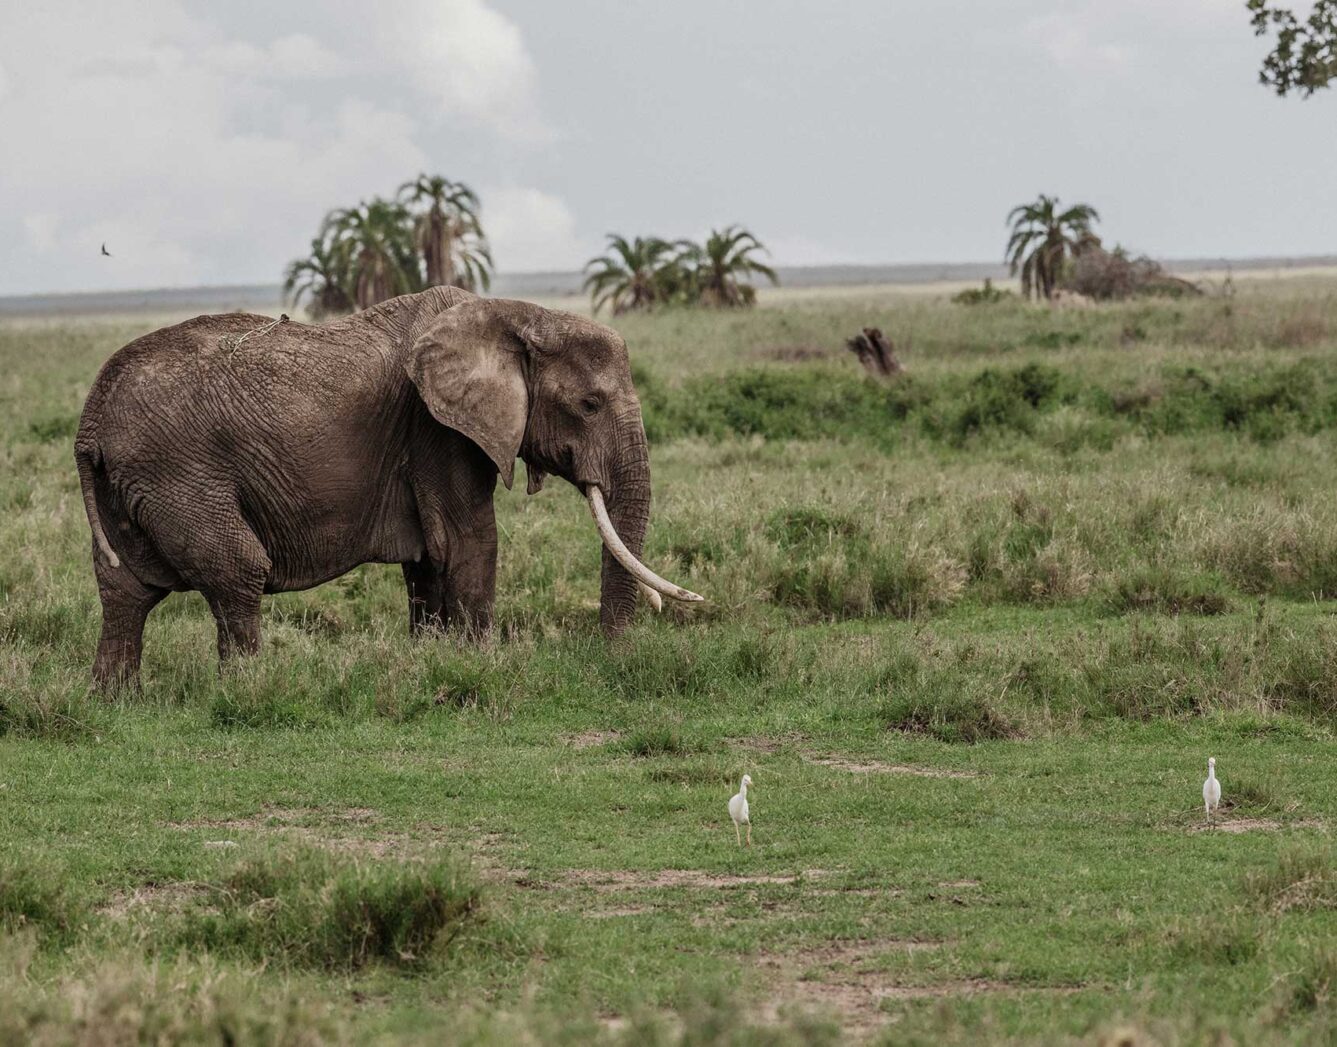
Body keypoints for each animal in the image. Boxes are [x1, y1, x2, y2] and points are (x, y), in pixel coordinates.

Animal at [75, 284, 700, 689]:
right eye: (589, 405)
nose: (611, 657)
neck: (515, 313)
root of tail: (89, 421)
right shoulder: (437, 427)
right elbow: (469, 542)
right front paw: (481, 667)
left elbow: (429, 557)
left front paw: (434, 663)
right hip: (178, 473)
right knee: (237, 569)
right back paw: (247, 690)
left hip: (131, 484)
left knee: (125, 590)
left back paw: (116, 703)